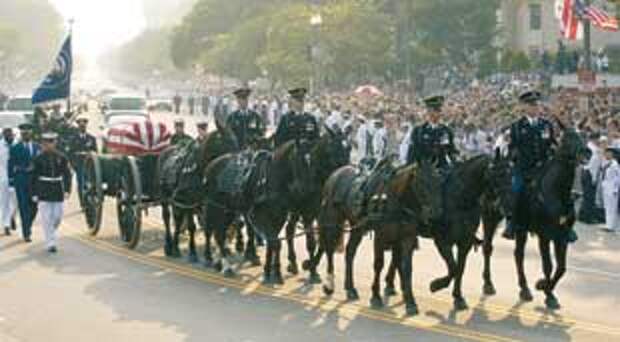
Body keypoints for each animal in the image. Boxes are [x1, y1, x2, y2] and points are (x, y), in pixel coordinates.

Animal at [203, 128, 348, 280]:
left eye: (349, 149)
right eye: (298, 161)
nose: (343, 174)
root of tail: (212, 164)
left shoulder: (296, 215)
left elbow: (298, 241)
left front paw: (307, 269)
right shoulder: (269, 215)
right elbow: (275, 241)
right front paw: (276, 271)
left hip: (228, 209)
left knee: (221, 231)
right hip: (215, 206)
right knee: (212, 230)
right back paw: (218, 260)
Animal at [308, 160, 444, 316]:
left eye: (438, 181)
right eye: (422, 182)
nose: (436, 211)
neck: (395, 200)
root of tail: (335, 174)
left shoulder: (406, 238)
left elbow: (406, 267)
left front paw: (410, 301)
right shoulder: (380, 237)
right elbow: (379, 265)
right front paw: (376, 296)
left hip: (357, 226)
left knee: (350, 252)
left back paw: (350, 287)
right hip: (333, 220)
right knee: (329, 248)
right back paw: (329, 284)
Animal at [382, 152, 512, 310]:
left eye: (510, 174)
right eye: (496, 176)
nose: (505, 209)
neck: (461, 200)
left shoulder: (465, 243)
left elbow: (460, 268)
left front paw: (458, 296)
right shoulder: (442, 242)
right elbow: (453, 268)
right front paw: (436, 285)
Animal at [480, 127, 592, 310]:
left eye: (584, 136)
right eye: (567, 138)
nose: (587, 152)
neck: (557, 192)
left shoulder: (562, 236)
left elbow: (561, 268)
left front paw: (546, 288)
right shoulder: (544, 236)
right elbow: (548, 265)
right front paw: (546, 291)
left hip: (521, 228)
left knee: (518, 254)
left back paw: (524, 288)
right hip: (489, 217)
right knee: (487, 247)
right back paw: (488, 284)